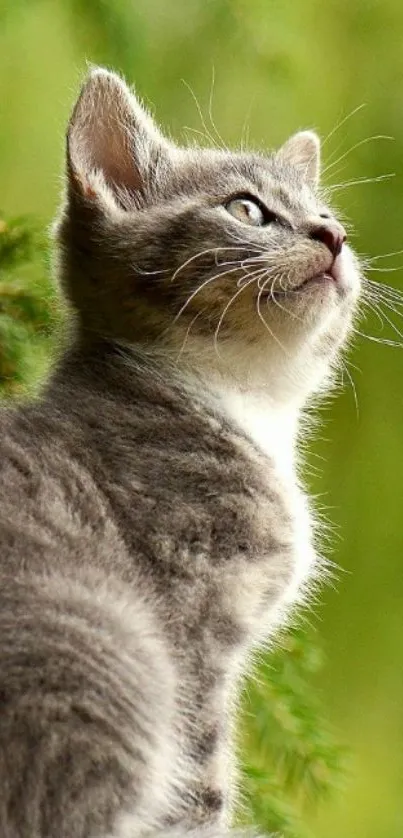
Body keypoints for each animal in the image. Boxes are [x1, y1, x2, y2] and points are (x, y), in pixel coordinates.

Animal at [0, 69, 360, 836]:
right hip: (111, 652)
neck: (245, 405)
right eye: (247, 209)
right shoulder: (192, 628)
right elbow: (201, 782)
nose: (334, 235)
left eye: (324, 212)